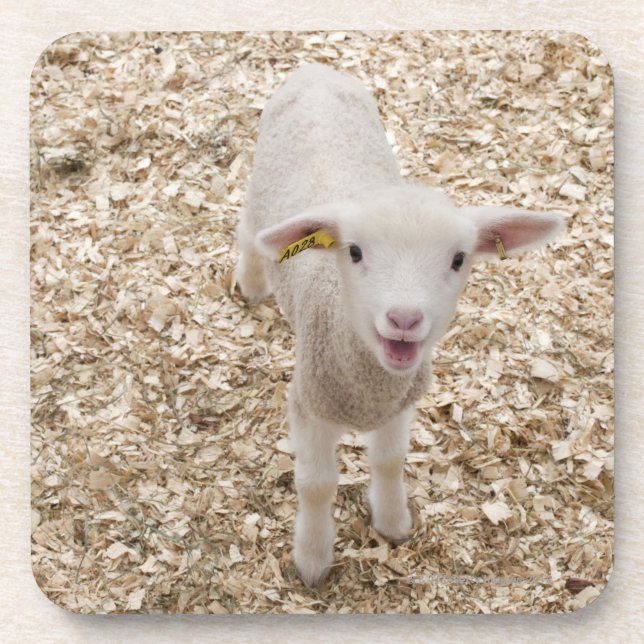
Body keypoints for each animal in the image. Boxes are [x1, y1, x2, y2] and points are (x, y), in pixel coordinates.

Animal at [235, 63, 564, 587]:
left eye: (458, 259)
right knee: (248, 232)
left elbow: (389, 461)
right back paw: (250, 282)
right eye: (353, 252)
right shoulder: (308, 404)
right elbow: (315, 485)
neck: (368, 385)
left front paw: (393, 523)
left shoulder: (399, 405)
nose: (404, 318)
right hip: (260, 188)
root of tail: (314, 70)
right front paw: (313, 560)